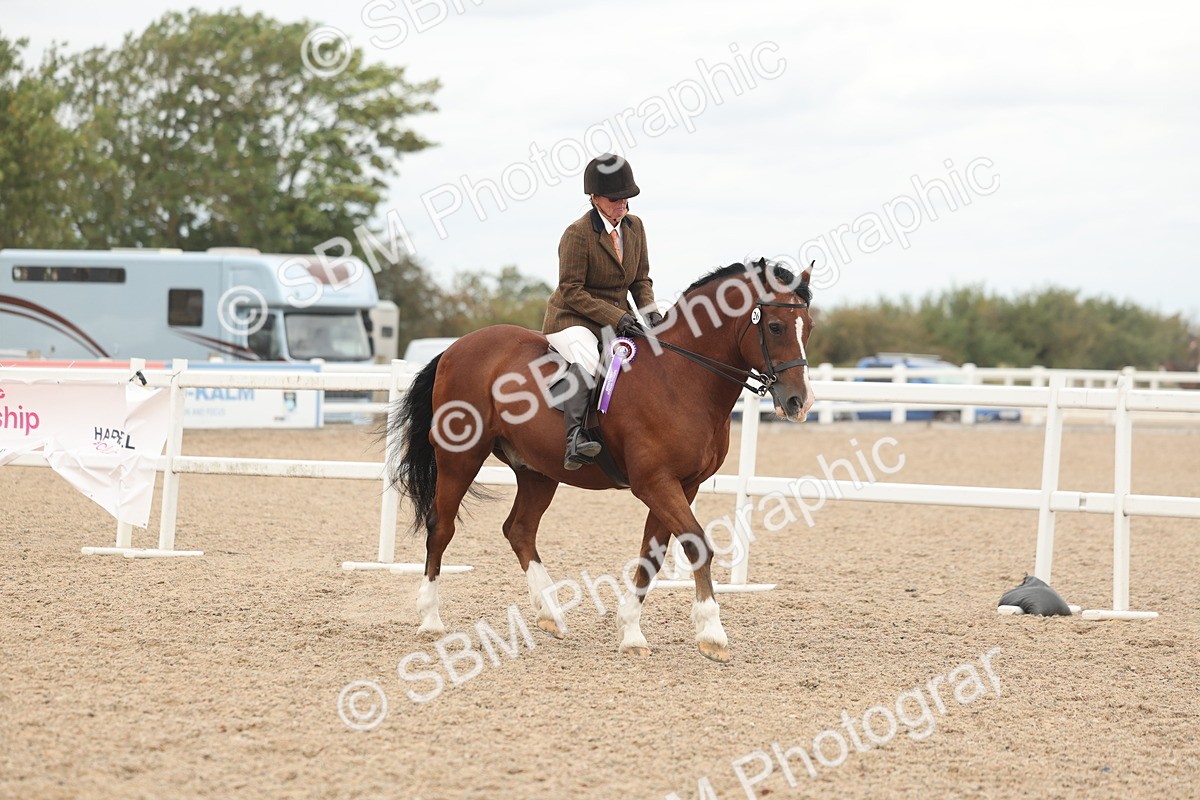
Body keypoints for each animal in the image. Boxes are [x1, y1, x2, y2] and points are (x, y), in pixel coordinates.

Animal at [386, 259, 815, 663]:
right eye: (775, 326)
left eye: (808, 326)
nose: (800, 402)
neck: (681, 378)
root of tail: (456, 348)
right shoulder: (655, 483)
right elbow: (697, 545)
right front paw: (712, 635)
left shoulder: (682, 485)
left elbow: (652, 555)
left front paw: (631, 633)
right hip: (460, 457)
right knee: (441, 528)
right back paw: (431, 619)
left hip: (538, 471)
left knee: (519, 530)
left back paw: (550, 615)